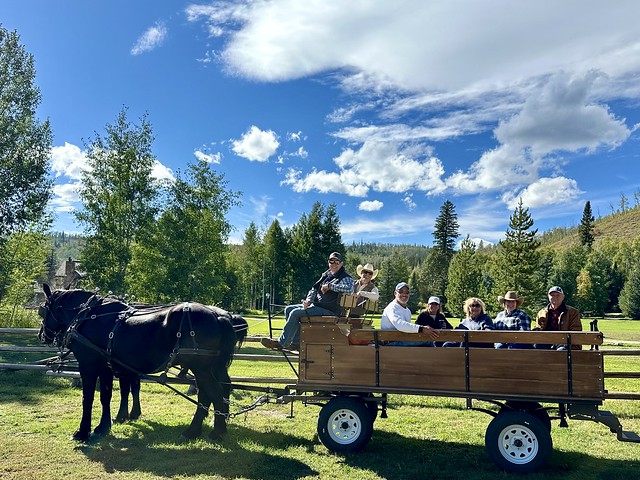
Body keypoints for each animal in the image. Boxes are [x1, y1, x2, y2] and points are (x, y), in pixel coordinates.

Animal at [38, 284, 248, 444]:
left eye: (43, 310)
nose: (42, 335)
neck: (89, 317)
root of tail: (219, 316)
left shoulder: (89, 366)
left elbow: (88, 398)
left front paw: (82, 432)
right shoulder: (108, 367)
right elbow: (107, 396)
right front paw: (104, 426)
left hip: (201, 368)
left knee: (214, 393)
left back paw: (210, 431)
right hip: (211, 368)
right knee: (215, 391)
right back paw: (205, 428)